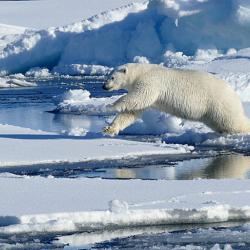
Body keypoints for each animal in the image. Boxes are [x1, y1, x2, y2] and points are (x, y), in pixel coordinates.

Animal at [102, 63, 250, 136]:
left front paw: (108, 106)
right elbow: (132, 112)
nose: (104, 86)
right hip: (211, 113)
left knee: (232, 121)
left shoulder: (151, 81)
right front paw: (109, 129)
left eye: (112, 77)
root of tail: (234, 93)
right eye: (107, 76)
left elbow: (139, 96)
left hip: (219, 103)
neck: (141, 71)